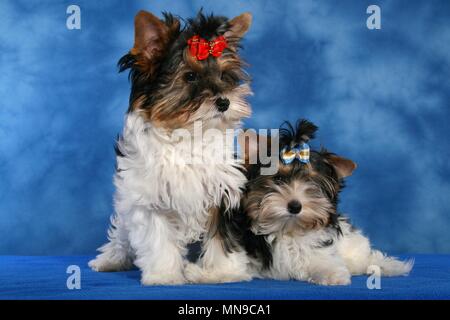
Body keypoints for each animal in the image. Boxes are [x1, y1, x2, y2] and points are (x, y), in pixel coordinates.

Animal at [89, 10, 253, 284]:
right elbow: (158, 239)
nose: (224, 102)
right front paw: (164, 274)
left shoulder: (223, 191)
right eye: (190, 76)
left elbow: (221, 234)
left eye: (223, 76)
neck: (186, 134)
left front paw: (222, 272)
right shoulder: (147, 198)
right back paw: (110, 259)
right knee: (121, 233)